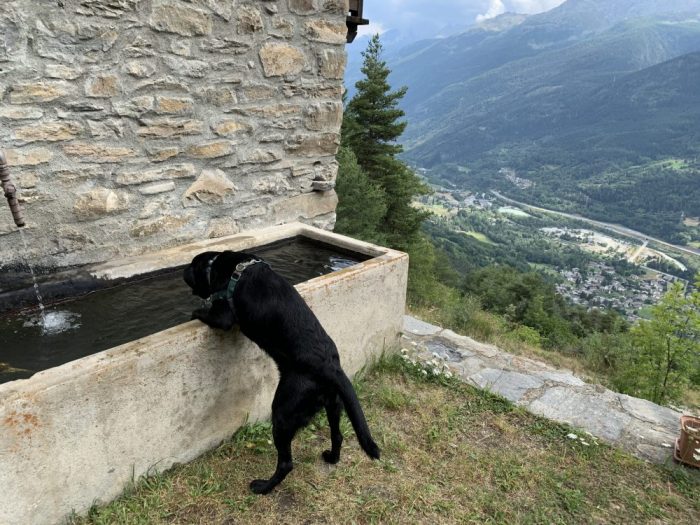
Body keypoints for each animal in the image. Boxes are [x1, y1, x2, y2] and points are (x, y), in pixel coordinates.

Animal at [180, 249, 378, 492]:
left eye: (191, 266)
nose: (183, 270)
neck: (221, 267)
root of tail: (331, 367)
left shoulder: (223, 316)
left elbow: (202, 313)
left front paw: (194, 312)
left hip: (283, 412)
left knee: (286, 463)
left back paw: (263, 487)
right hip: (333, 405)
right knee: (338, 436)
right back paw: (331, 458)